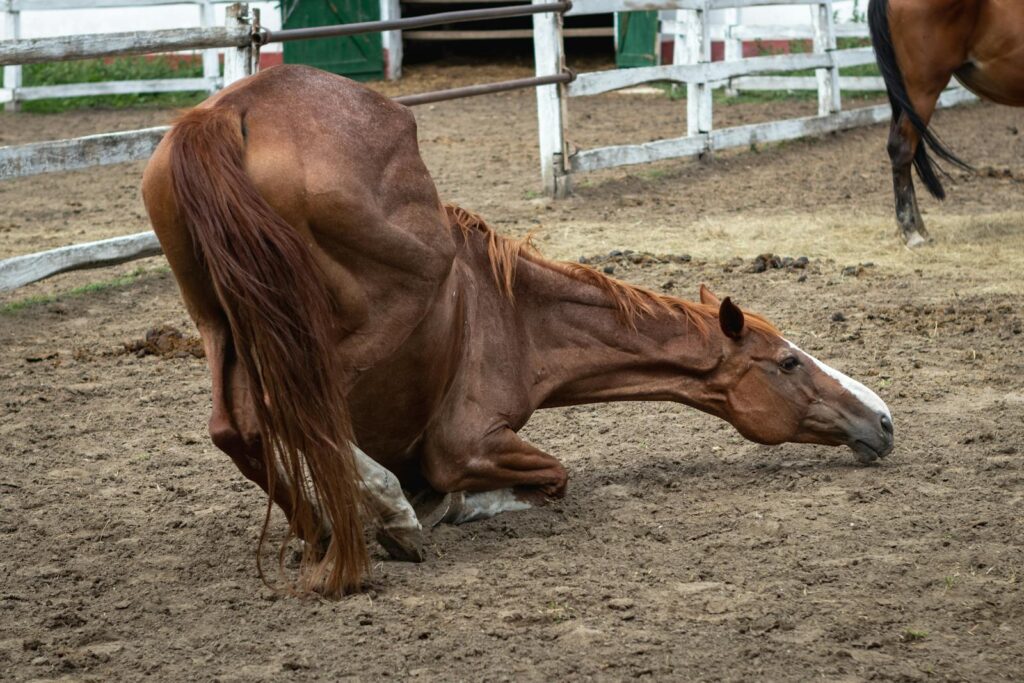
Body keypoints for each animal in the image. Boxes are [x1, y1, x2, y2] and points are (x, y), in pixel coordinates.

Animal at [142, 64, 895, 598]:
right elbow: (551, 476)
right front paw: (437, 505)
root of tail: (226, 113)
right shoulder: (465, 440)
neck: (512, 312)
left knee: (238, 428)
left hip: (220, 324)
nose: (883, 420)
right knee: (291, 410)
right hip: (364, 313)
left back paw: (331, 534)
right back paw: (381, 524)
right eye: (789, 361)